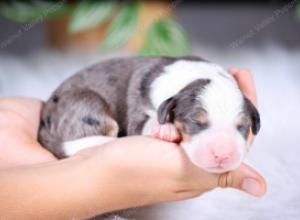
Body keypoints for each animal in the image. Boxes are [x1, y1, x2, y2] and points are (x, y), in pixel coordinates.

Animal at [38, 56, 260, 174]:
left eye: (242, 126)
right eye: (196, 121)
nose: (223, 155)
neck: (191, 79)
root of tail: (43, 123)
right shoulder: (138, 115)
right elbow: (146, 123)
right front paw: (166, 130)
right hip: (88, 106)